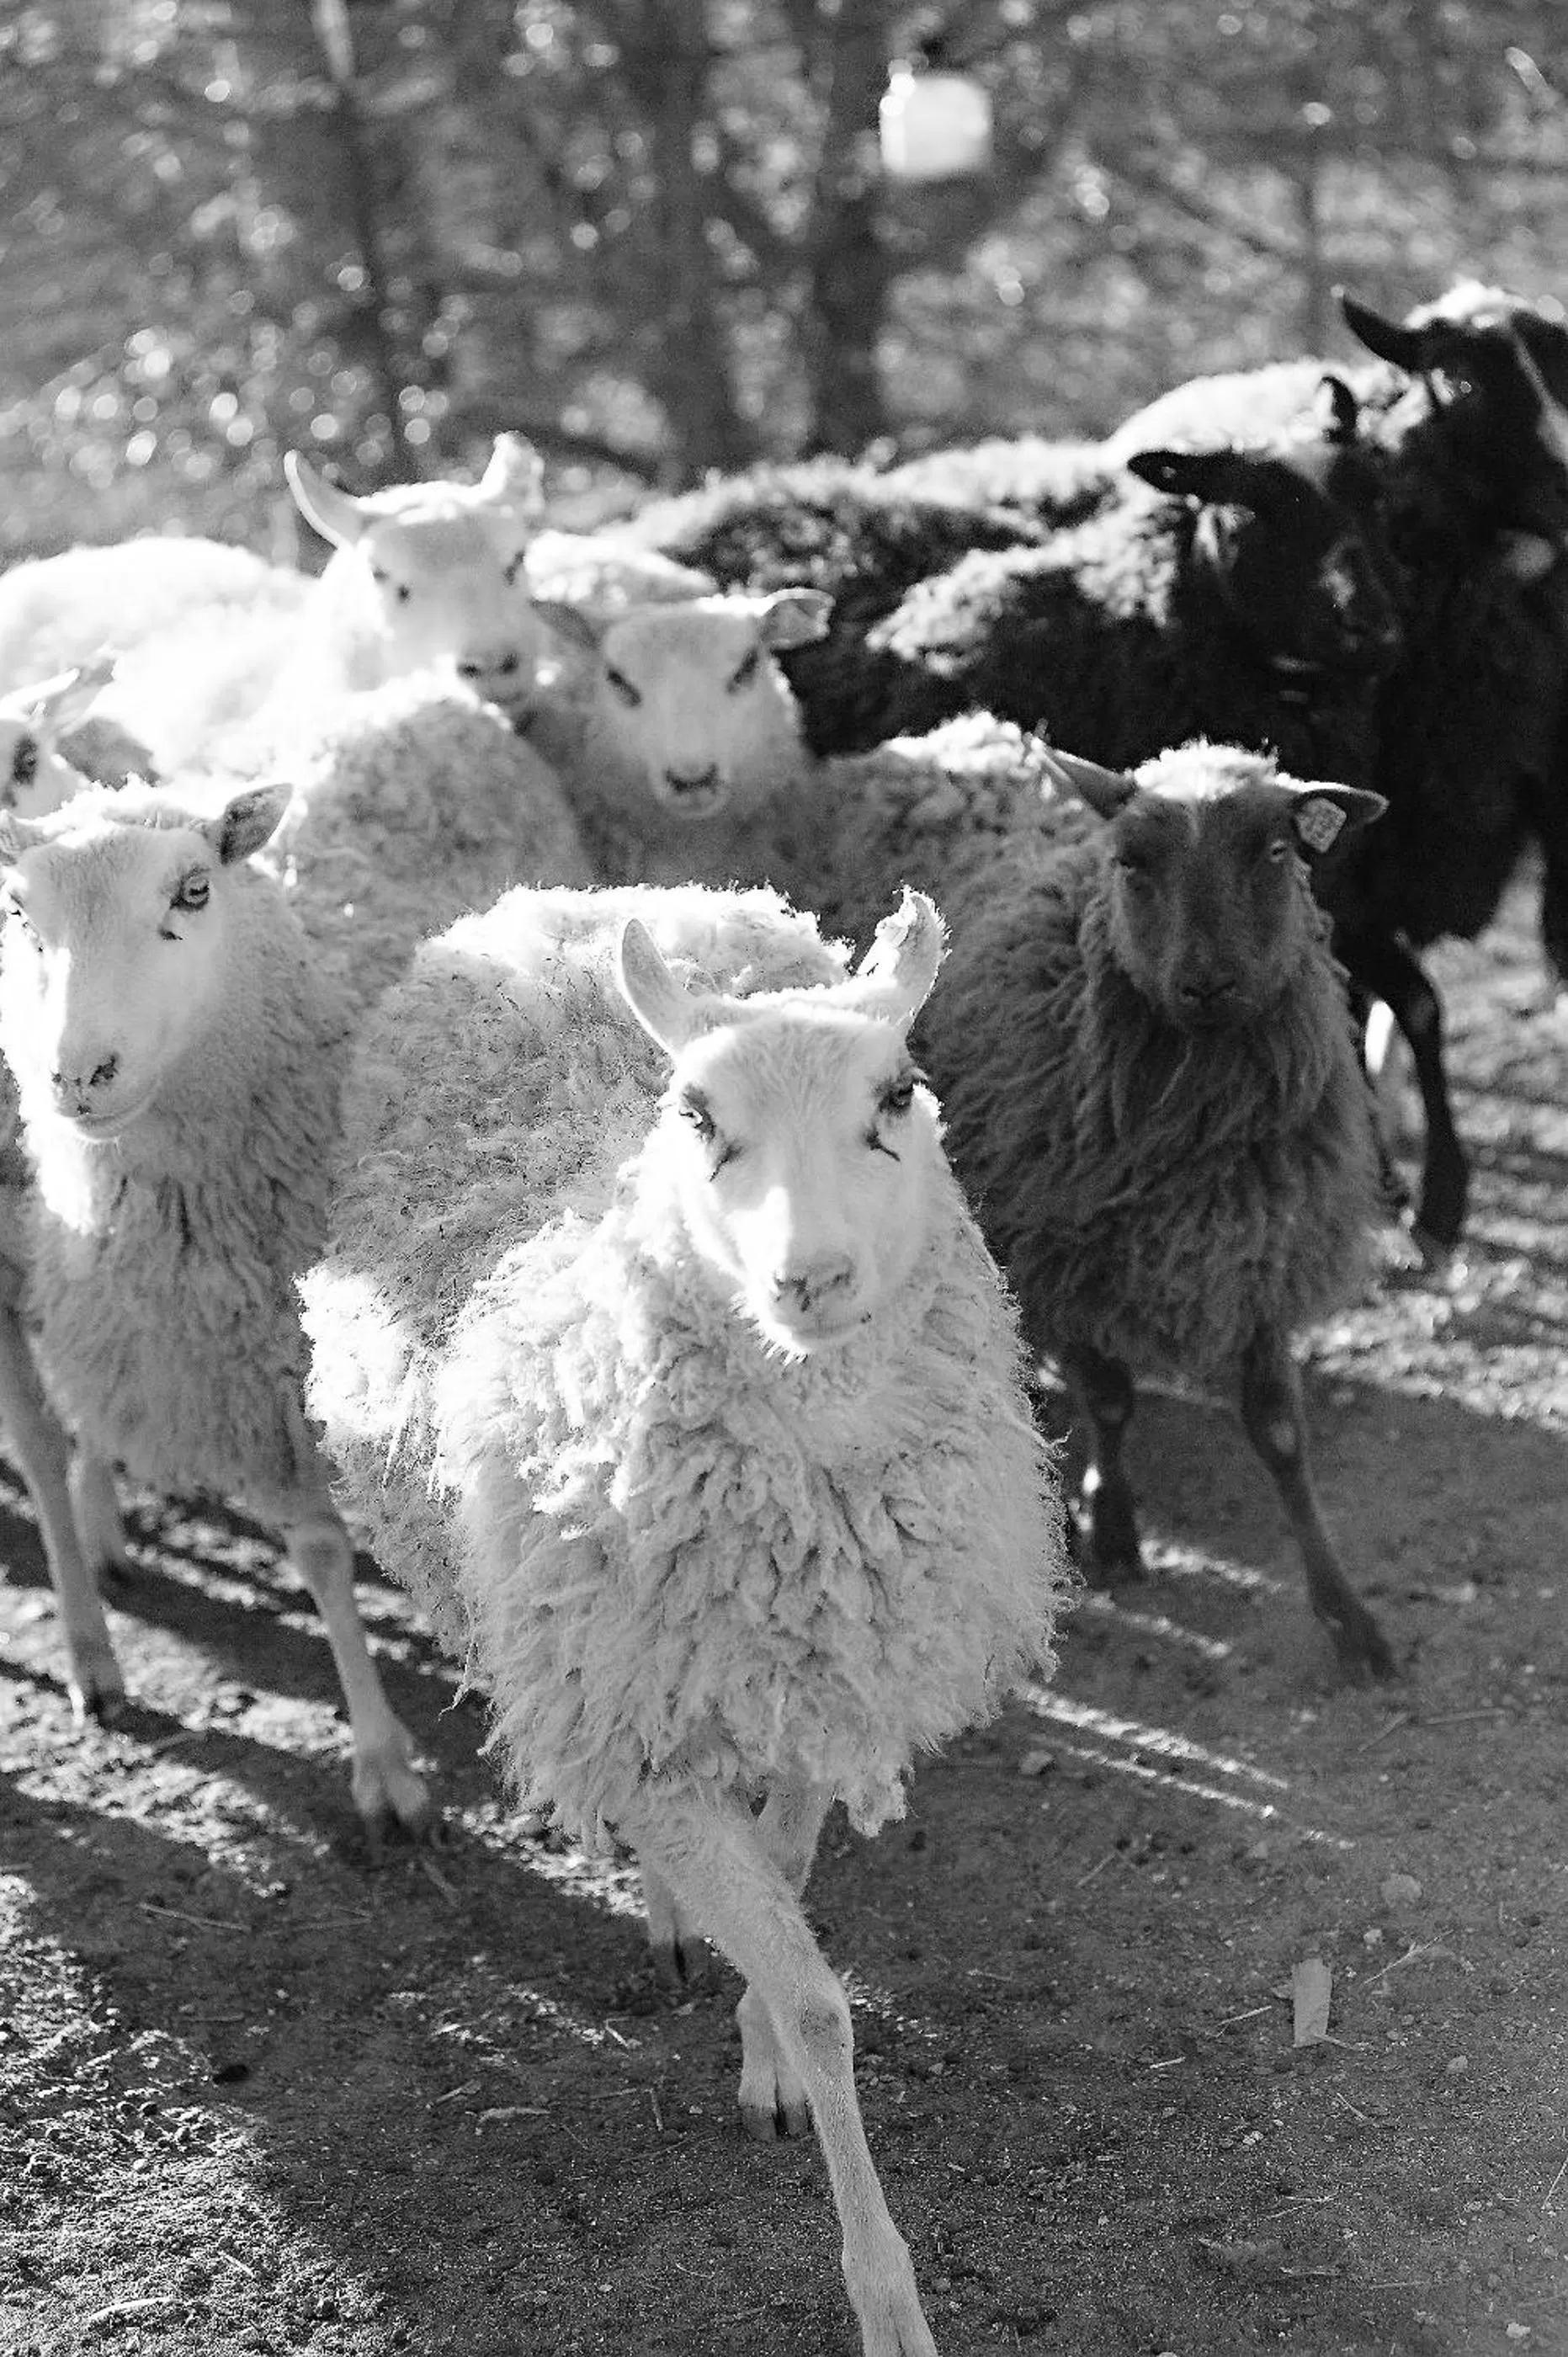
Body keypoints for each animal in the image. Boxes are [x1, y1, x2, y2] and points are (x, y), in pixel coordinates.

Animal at [0, 776, 434, 1835]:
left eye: (195, 890)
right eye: (21, 913)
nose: (79, 1075)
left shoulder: (276, 1342)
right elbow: (315, 1545)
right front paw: (383, 1761)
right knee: (42, 1444)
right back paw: (92, 1649)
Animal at [303, 878, 1069, 2357]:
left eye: (898, 1094)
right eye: (698, 1116)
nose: (808, 1279)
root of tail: (563, 900)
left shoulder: (828, 1693)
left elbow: (786, 1883)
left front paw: (758, 2046)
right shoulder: (648, 1712)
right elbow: (821, 2000)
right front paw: (884, 2292)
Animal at [921, 738, 1397, 1683]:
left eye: (1278, 851)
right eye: (1132, 862)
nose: (1206, 983)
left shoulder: (1257, 1263)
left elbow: (1281, 1436)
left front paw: (1346, 1615)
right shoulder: (1066, 1255)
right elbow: (1108, 1403)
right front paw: (1111, 1526)